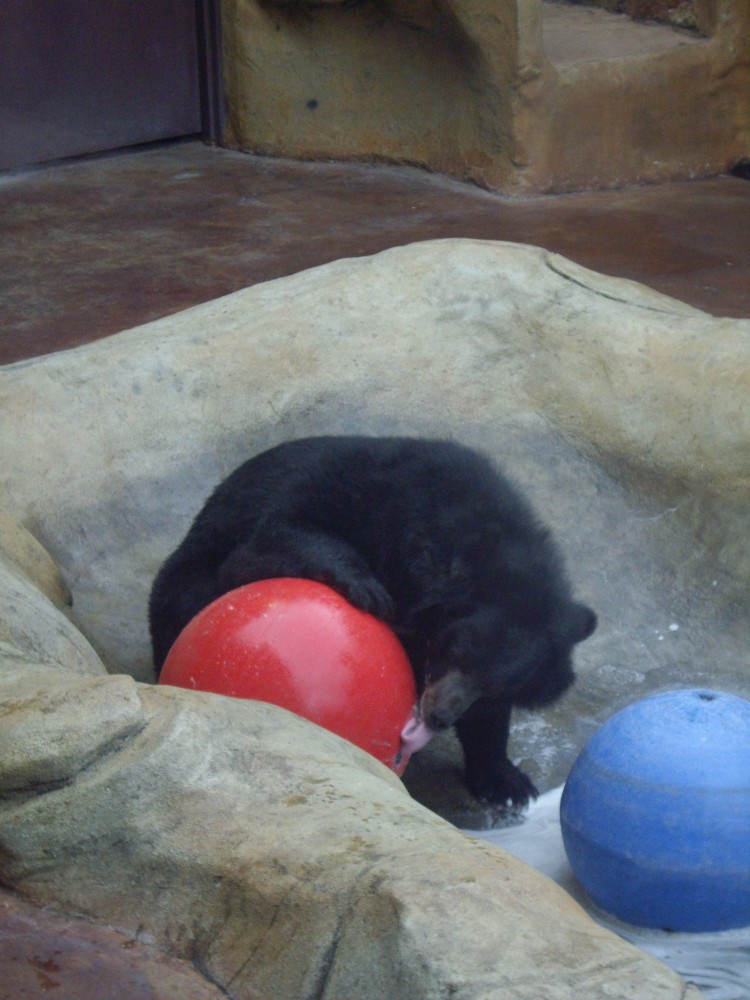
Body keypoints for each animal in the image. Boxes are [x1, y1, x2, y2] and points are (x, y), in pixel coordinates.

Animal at [149, 436, 596, 806]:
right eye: (455, 653)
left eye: (491, 688)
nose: (439, 716)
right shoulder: (358, 498)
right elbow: (274, 540)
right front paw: (370, 592)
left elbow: (489, 722)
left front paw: (506, 782)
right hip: (185, 581)